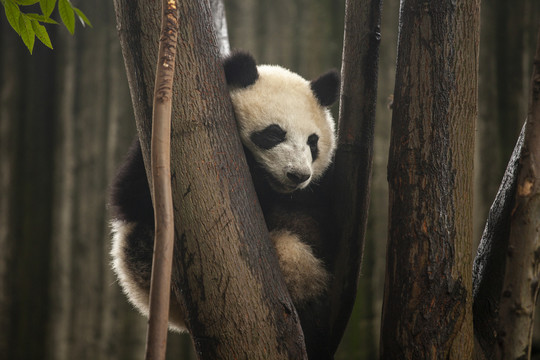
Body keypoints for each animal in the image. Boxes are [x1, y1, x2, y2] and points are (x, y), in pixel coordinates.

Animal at [109, 50, 338, 358]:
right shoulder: (152, 155)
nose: (298, 175)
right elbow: (131, 197)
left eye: (313, 143)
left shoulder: (314, 197)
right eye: (274, 133)